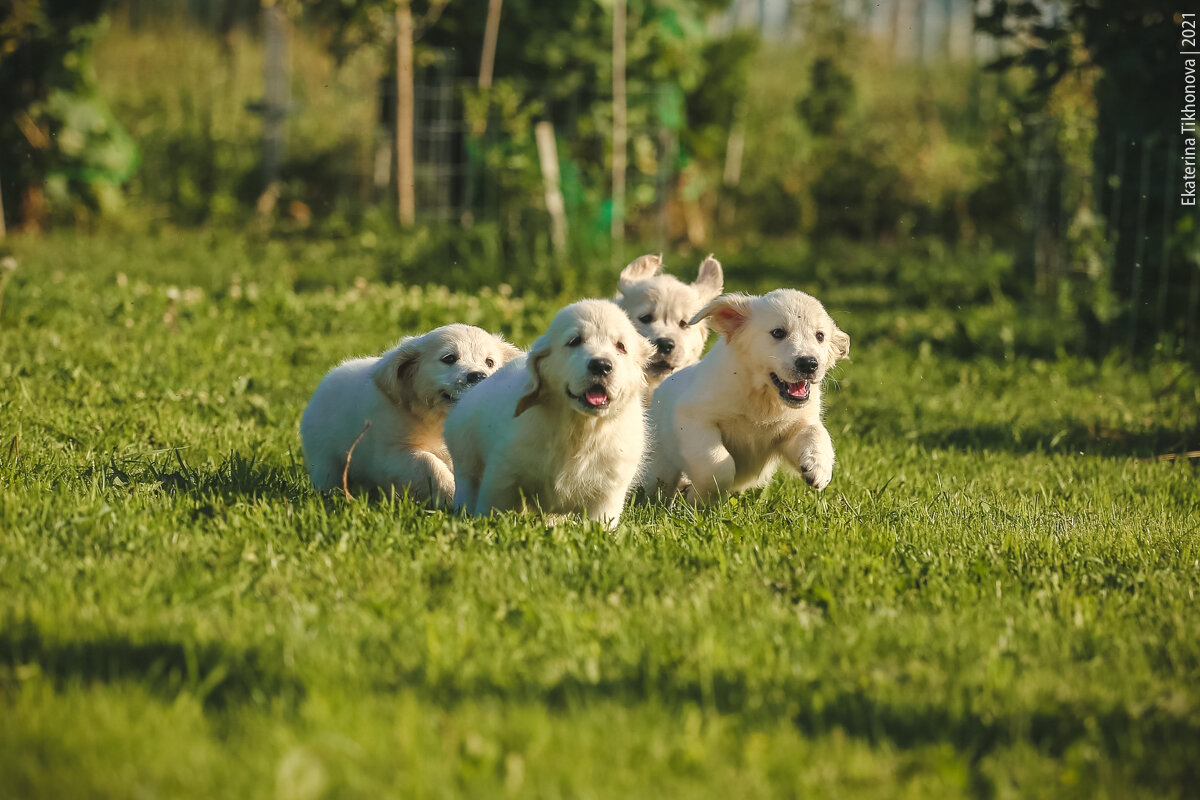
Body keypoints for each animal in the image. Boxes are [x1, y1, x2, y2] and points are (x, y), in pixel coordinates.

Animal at [297, 321, 518, 503]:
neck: (436, 419)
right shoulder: (390, 454)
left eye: (490, 362)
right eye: (449, 358)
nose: (479, 376)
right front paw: (451, 492)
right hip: (324, 456)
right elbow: (429, 463)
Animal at [446, 298, 652, 525]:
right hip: (465, 457)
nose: (601, 365)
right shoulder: (502, 475)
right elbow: (491, 508)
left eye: (621, 346)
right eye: (574, 341)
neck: (579, 429)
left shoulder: (608, 492)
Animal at [643, 287, 849, 503]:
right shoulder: (693, 417)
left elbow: (816, 432)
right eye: (778, 333)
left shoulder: (795, 425)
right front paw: (700, 500)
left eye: (820, 336)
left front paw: (819, 469)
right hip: (659, 462)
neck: (762, 397)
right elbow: (718, 465)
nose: (809, 364)